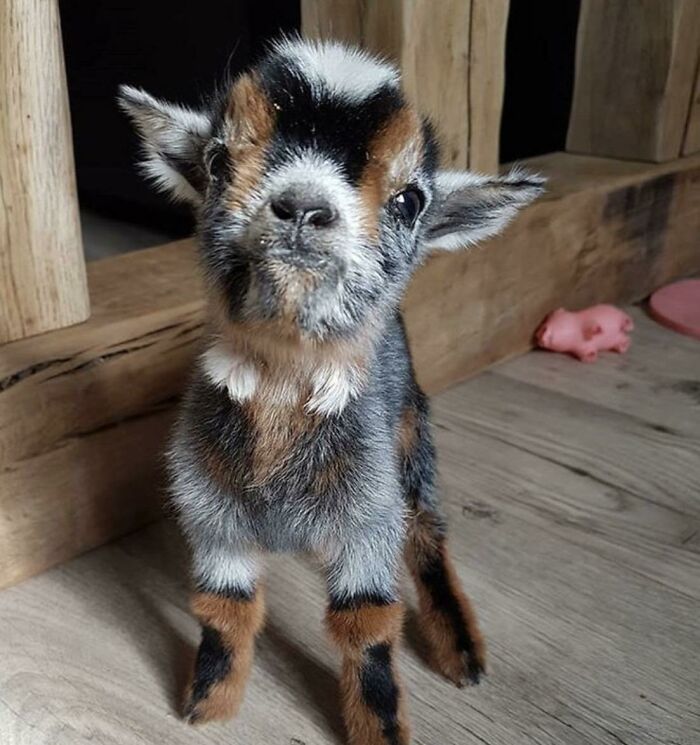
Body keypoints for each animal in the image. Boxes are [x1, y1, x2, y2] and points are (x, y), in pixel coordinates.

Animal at [120, 36, 540, 744]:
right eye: (217, 161)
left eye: (409, 201)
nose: (304, 208)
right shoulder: (212, 514)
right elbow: (223, 608)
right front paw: (208, 703)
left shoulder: (368, 516)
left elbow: (366, 625)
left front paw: (382, 729)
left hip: (410, 435)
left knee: (427, 529)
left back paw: (460, 649)